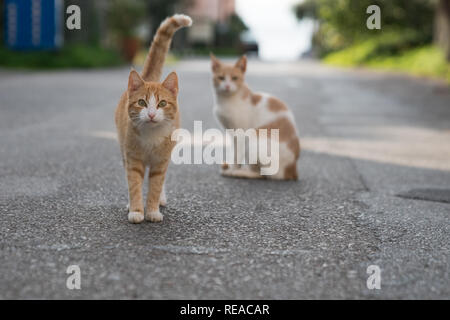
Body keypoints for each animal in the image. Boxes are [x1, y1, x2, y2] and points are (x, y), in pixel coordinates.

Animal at [115, 15, 191, 224]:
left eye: (162, 103)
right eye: (142, 102)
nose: (150, 114)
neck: (150, 136)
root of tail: (149, 77)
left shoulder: (160, 162)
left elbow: (156, 185)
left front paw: (152, 210)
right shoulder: (132, 159)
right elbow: (134, 184)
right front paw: (136, 210)